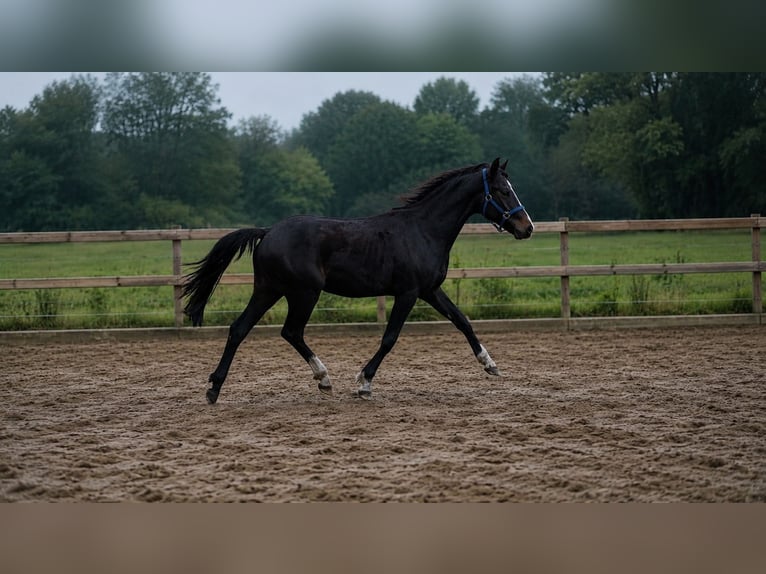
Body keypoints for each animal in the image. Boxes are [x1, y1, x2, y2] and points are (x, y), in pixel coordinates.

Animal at [182, 158, 534, 404]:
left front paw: (490, 364)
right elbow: (390, 338)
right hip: (304, 293)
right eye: (503, 190)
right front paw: (364, 383)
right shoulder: (407, 293)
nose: (526, 227)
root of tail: (267, 232)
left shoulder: (430, 290)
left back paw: (214, 389)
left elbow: (462, 321)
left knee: (239, 329)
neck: (423, 230)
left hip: (269, 290)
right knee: (290, 331)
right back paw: (323, 379)